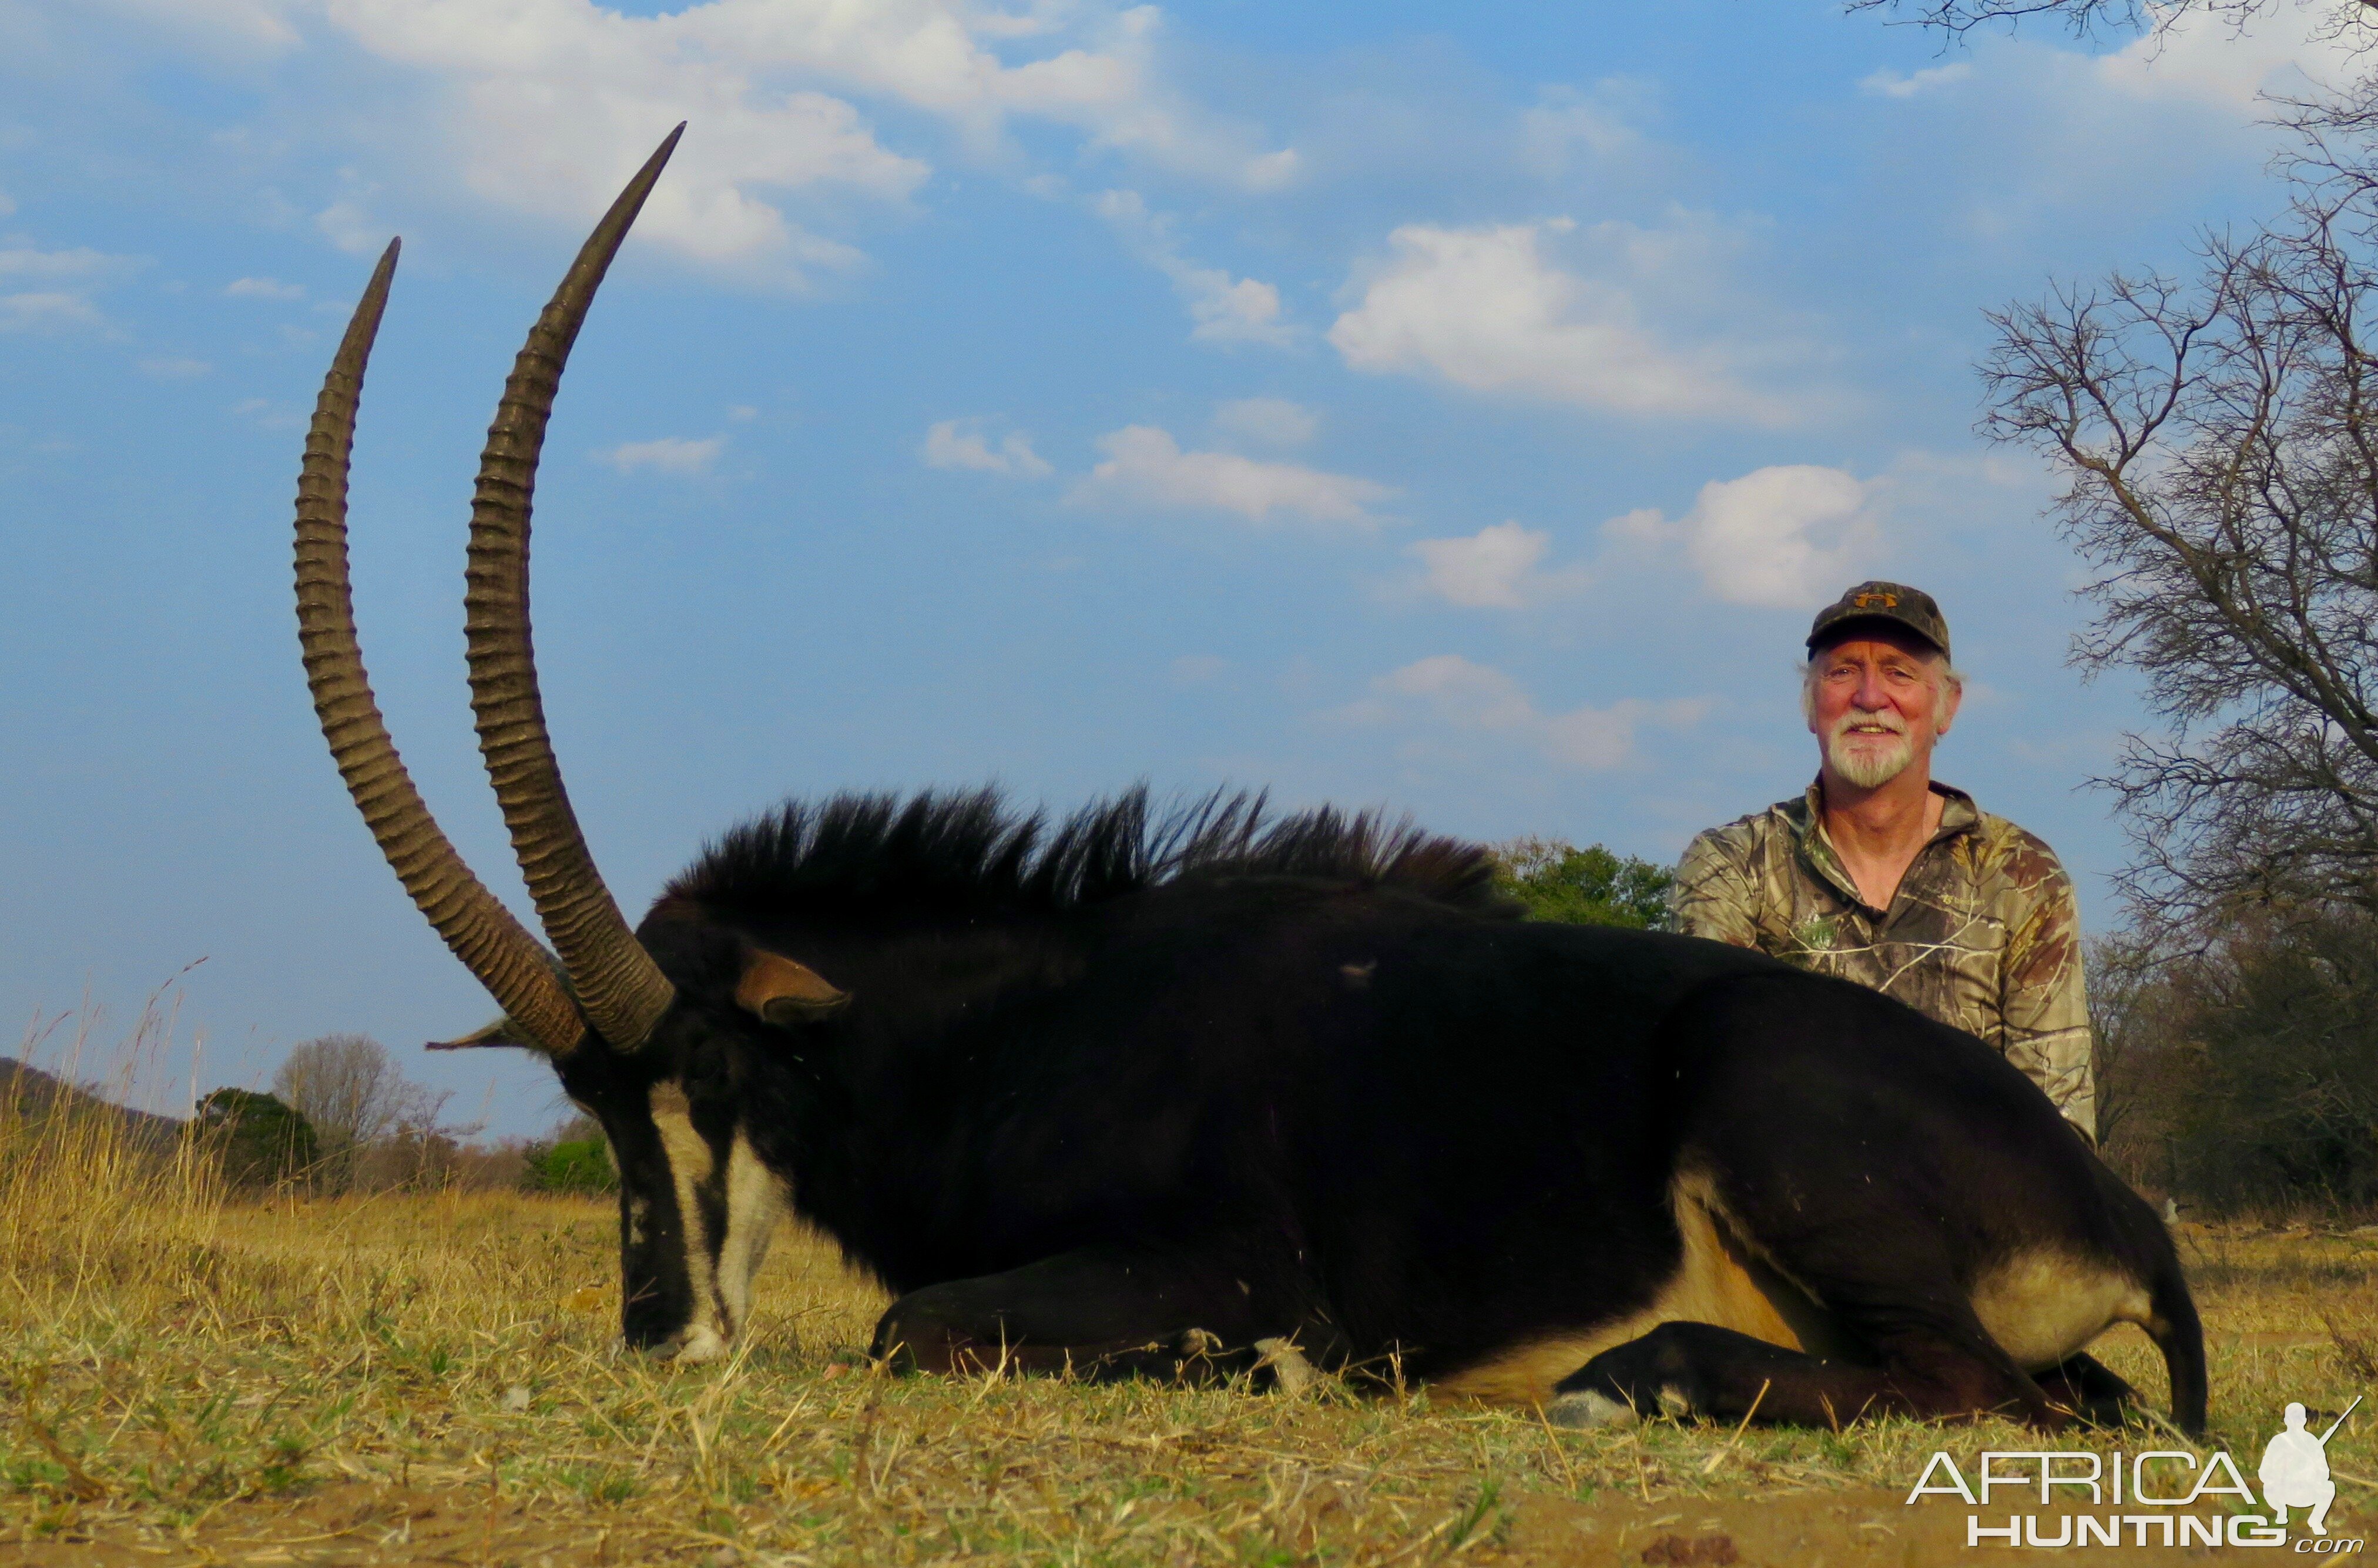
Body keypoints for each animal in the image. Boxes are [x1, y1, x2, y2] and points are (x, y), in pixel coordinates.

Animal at [297, 132, 2206, 1435]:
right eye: (586, 1101)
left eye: (711, 1073)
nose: (667, 1338)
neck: (1024, 1022)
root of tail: (2114, 1198)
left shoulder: (1217, 1263)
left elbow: (913, 1324)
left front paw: (1279, 1369)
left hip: (1782, 1132)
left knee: (1965, 1387)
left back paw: (1624, 1369)